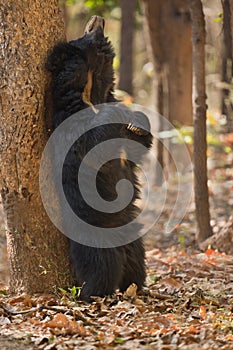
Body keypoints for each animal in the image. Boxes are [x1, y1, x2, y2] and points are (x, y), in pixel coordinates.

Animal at [46, 15, 153, 300]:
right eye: (82, 36)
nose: (98, 17)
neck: (93, 88)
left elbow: (134, 149)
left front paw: (138, 123)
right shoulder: (70, 120)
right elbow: (96, 140)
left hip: (133, 236)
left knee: (135, 262)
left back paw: (135, 288)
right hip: (94, 233)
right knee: (101, 265)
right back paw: (92, 293)